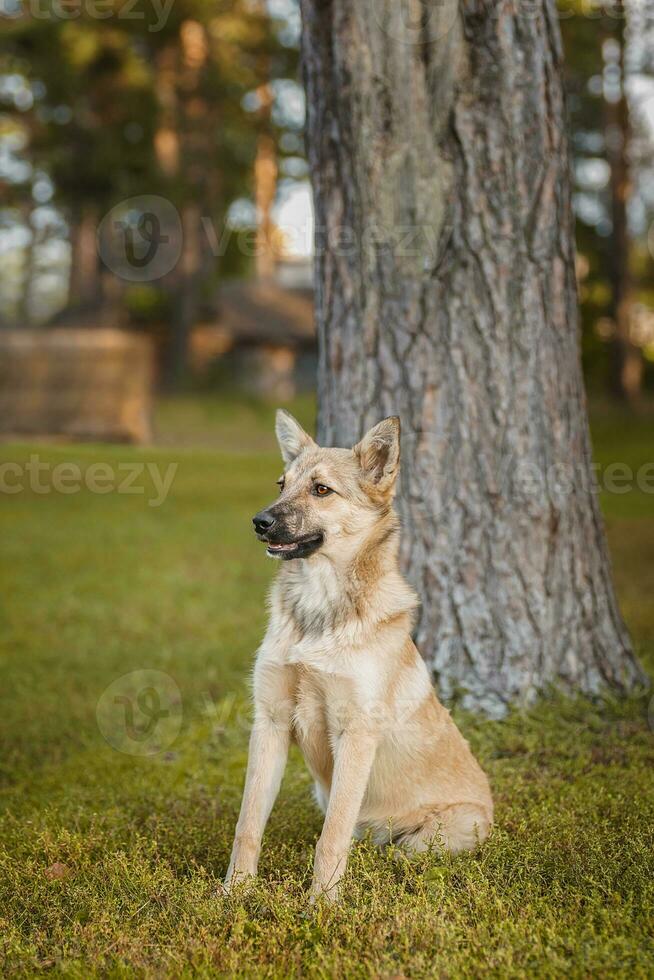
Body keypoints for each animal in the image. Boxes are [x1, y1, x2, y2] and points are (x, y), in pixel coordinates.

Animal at [226, 410, 492, 900]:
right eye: (281, 484)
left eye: (321, 490)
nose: (259, 521)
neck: (318, 611)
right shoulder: (270, 722)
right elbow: (248, 823)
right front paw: (233, 892)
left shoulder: (356, 733)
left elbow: (330, 839)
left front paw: (322, 905)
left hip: (436, 836)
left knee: (392, 848)